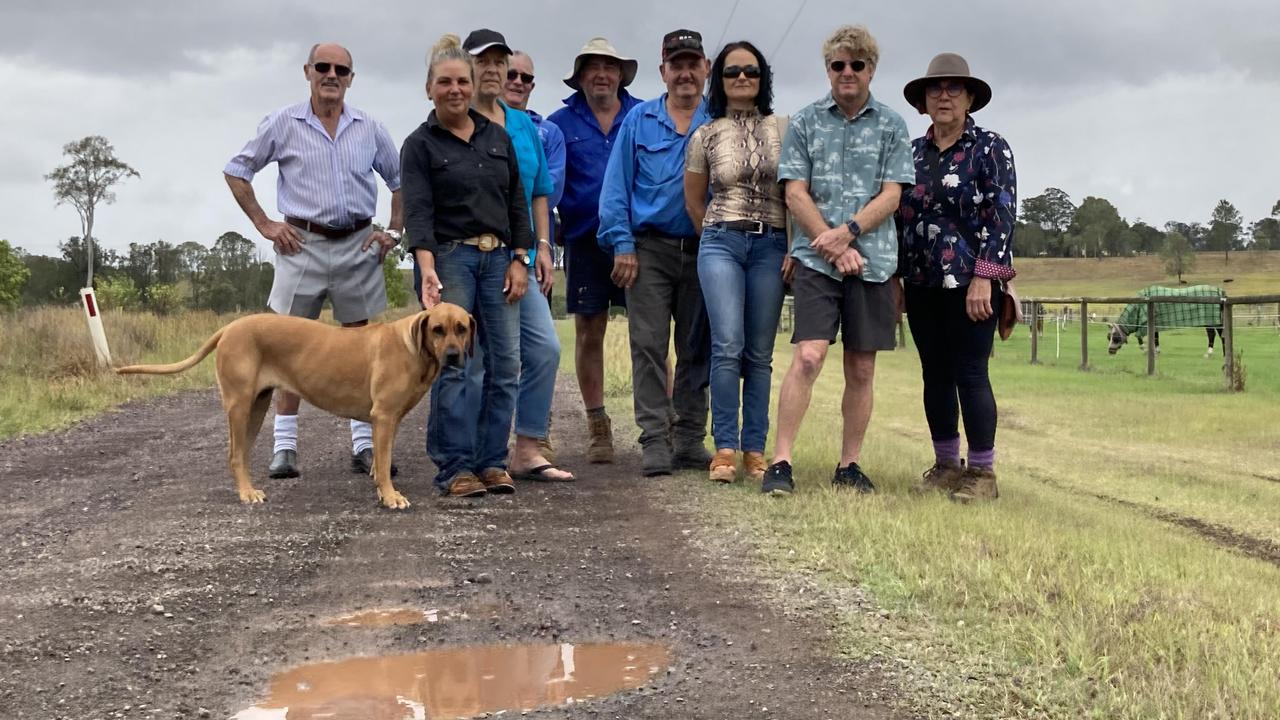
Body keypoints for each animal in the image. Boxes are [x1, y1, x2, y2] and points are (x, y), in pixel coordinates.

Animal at [113, 304, 476, 507]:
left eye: (461, 328)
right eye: (437, 329)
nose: (453, 355)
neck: (414, 348)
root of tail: (229, 328)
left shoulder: (389, 421)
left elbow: (380, 461)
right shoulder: (384, 416)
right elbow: (385, 464)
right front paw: (390, 496)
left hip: (257, 406)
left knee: (242, 452)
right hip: (240, 403)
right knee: (234, 454)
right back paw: (246, 493)